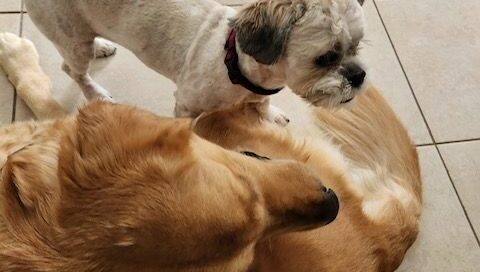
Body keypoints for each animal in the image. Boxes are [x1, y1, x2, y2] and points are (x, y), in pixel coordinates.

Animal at [24, 0, 366, 125]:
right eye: (326, 58)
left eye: (357, 45)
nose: (359, 75)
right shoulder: (187, 105)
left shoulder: (261, 90)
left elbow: (263, 103)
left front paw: (270, 113)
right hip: (70, 37)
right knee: (73, 69)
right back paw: (95, 92)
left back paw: (102, 45)